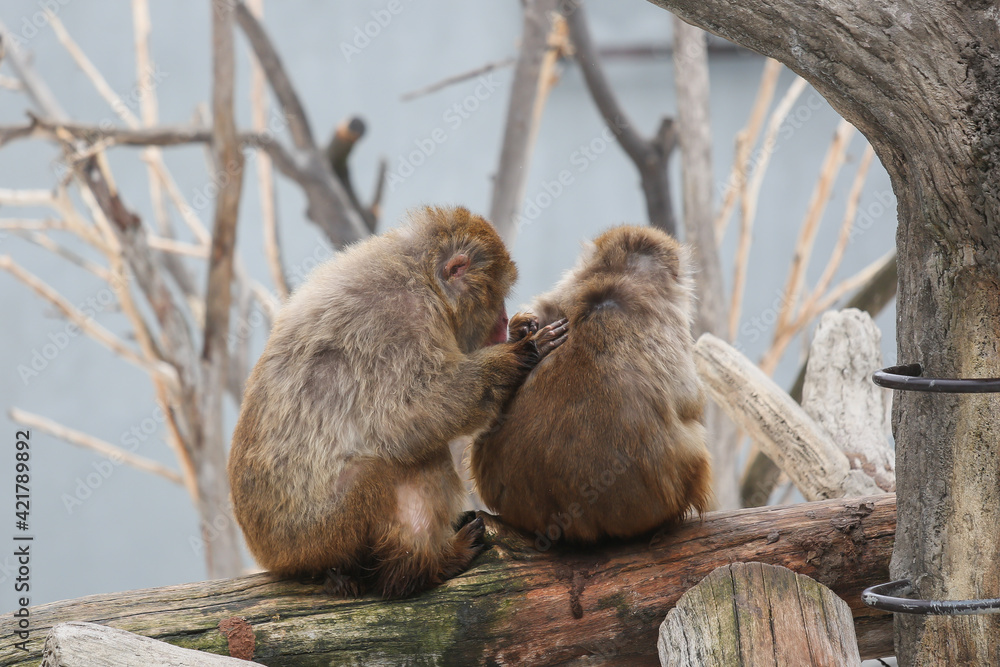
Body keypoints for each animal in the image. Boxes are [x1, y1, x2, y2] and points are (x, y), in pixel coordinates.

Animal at [228, 206, 568, 598]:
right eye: (497, 294)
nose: (502, 320)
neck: (421, 275)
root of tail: (269, 556)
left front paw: (520, 331)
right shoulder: (405, 321)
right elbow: (407, 416)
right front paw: (517, 354)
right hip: (324, 533)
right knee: (403, 461)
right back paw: (418, 569)